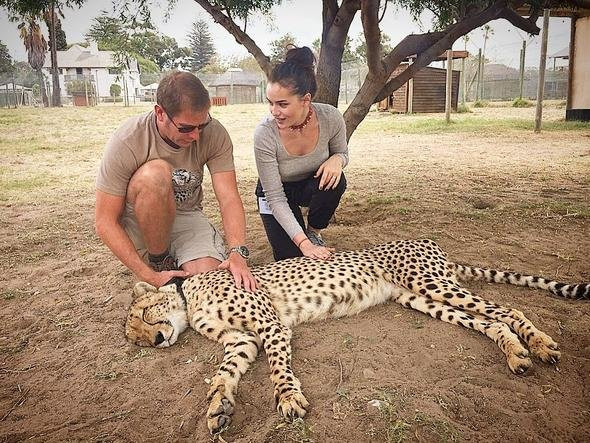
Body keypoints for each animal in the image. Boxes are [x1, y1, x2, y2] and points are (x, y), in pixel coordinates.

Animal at [126, 241, 590, 436]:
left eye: (146, 316)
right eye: (137, 339)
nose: (156, 341)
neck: (189, 302)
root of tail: (429, 241)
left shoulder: (272, 325)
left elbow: (278, 368)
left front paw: (289, 400)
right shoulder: (243, 341)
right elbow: (224, 374)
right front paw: (219, 407)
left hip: (430, 283)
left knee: (508, 310)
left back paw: (540, 344)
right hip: (419, 299)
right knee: (491, 322)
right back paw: (516, 354)